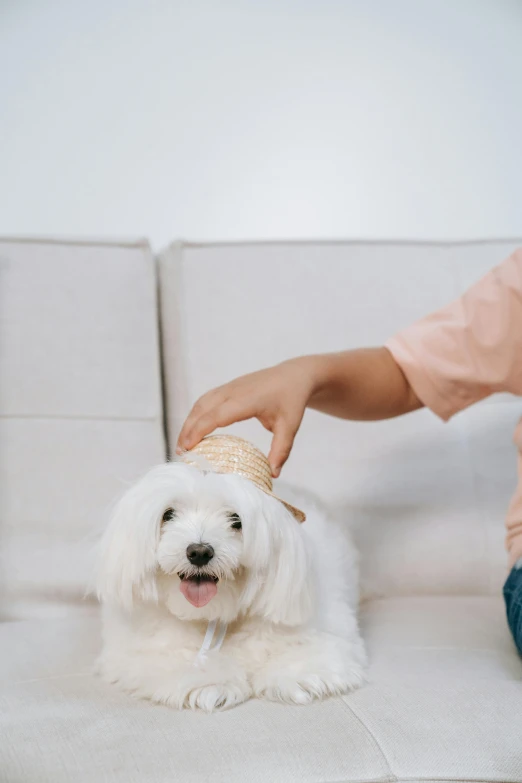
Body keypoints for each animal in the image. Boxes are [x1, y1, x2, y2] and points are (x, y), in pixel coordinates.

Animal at [97, 462, 366, 712]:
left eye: (236, 520)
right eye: (169, 514)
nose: (199, 552)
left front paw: (293, 675)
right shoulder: (141, 647)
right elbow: (175, 658)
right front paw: (210, 682)